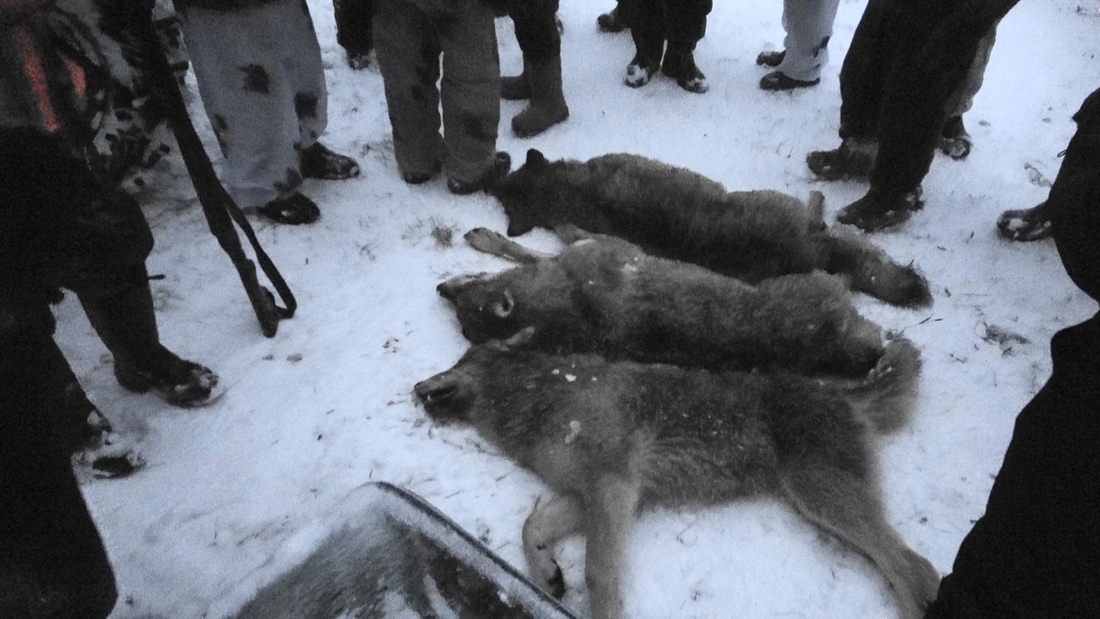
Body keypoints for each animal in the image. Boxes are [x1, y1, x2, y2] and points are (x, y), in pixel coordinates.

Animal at [413, 332, 937, 619]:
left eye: (457, 362)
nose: (416, 386)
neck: (541, 397)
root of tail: (844, 394)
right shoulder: (598, 495)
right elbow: (531, 526)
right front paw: (547, 573)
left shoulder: (614, 488)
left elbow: (599, 573)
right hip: (819, 508)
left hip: (821, 498)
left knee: (917, 569)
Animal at [437, 225, 884, 376]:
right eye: (462, 324)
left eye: (468, 288)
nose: (440, 290)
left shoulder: (597, 249)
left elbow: (526, 249)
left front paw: (486, 238)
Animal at [495, 148, 932, 307]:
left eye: (507, 186)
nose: (489, 179)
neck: (567, 191)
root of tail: (815, 253)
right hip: (780, 204)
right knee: (818, 212)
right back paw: (820, 201)